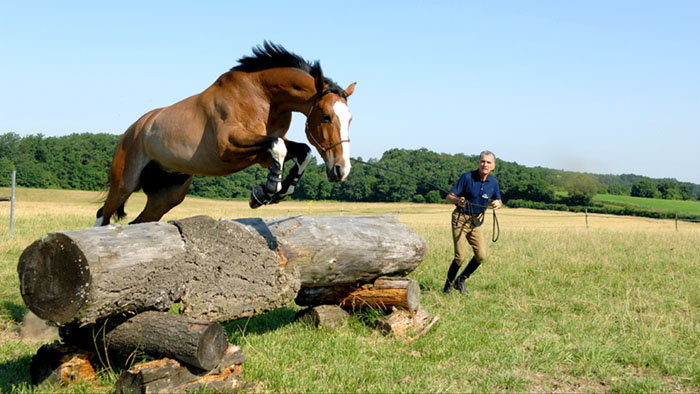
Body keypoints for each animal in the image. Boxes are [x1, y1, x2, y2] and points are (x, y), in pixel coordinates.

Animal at [94, 41, 356, 226]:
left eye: (350, 120)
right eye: (326, 117)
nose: (340, 170)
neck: (262, 95)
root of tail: (134, 129)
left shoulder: (262, 152)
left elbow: (303, 151)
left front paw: (280, 190)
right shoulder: (229, 145)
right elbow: (278, 146)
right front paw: (267, 191)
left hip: (168, 194)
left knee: (140, 222)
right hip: (125, 182)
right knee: (103, 214)